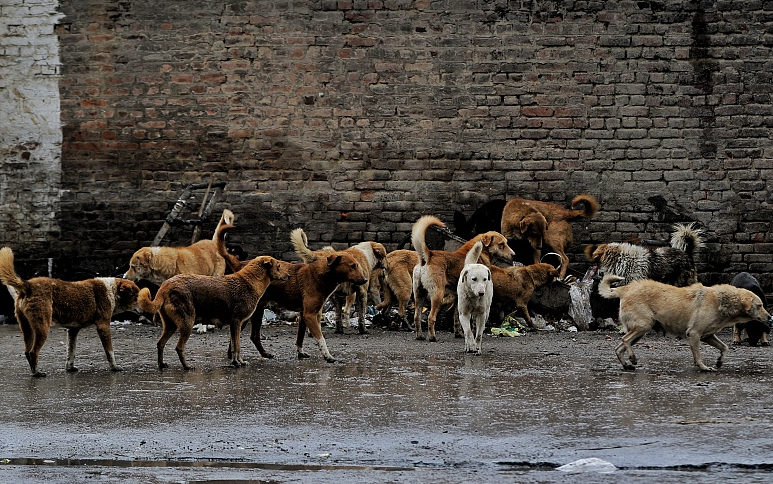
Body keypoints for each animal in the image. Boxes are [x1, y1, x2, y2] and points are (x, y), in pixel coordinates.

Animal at [0, 248, 140, 376]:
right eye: (137, 296)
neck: (113, 290)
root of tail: (28, 285)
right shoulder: (103, 326)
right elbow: (110, 351)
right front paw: (114, 367)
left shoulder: (73, 330)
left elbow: (71, 352)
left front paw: (70, 368)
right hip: (42, 327)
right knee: (33, 352)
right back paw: (37, 373)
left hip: (27, 328)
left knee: (27, 351)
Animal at [137, 246, 288, 370]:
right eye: (279, 266)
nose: (288, 275)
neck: (250, 281)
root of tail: (165, 286)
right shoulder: (236, 322)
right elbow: (237, 347)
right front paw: (238, 362)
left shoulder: (234, 325)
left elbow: (234, 346)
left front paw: (236, 362)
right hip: (187, 323)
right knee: (179, 347)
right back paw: (187, 366)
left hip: (170, 325)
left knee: (160, 343)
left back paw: (162, 364)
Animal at [213, 225, 366, 362]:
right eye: (352, 266)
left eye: (357, 265)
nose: (365, 280)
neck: (321, 275)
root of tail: (240, 264)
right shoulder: (310, 315)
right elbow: (321, 338)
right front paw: (328, 356)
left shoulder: (304, 315)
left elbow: (300, 338)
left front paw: (301, 353)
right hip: (249, 312)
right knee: (238, 335)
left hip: (257, 311)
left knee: (252, 336)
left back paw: (262, 354)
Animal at [410, 214, 512, 342]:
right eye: (501, 244)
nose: (514, 255)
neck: (481, 252)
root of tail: (428, 256)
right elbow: (474, 322)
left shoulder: (457, 298)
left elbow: (457, 319)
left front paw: (459, 334)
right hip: (437, 295)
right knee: (431, 317)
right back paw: (432, 337)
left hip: (419, 295)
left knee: (416, 317)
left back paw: (419, 336)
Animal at [596, 274, 772, 372]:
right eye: (759, 305)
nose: (770, 317)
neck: (722, 301)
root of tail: (625, 289)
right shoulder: (694, 334)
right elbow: (698, 355)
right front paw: (703, 367)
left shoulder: (707, 336)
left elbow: (725, 347)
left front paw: (720, 361)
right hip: (644, 325)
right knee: (624, 340)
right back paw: (632, 358)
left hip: (640, 331)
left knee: (618, 348)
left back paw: (627, 365)